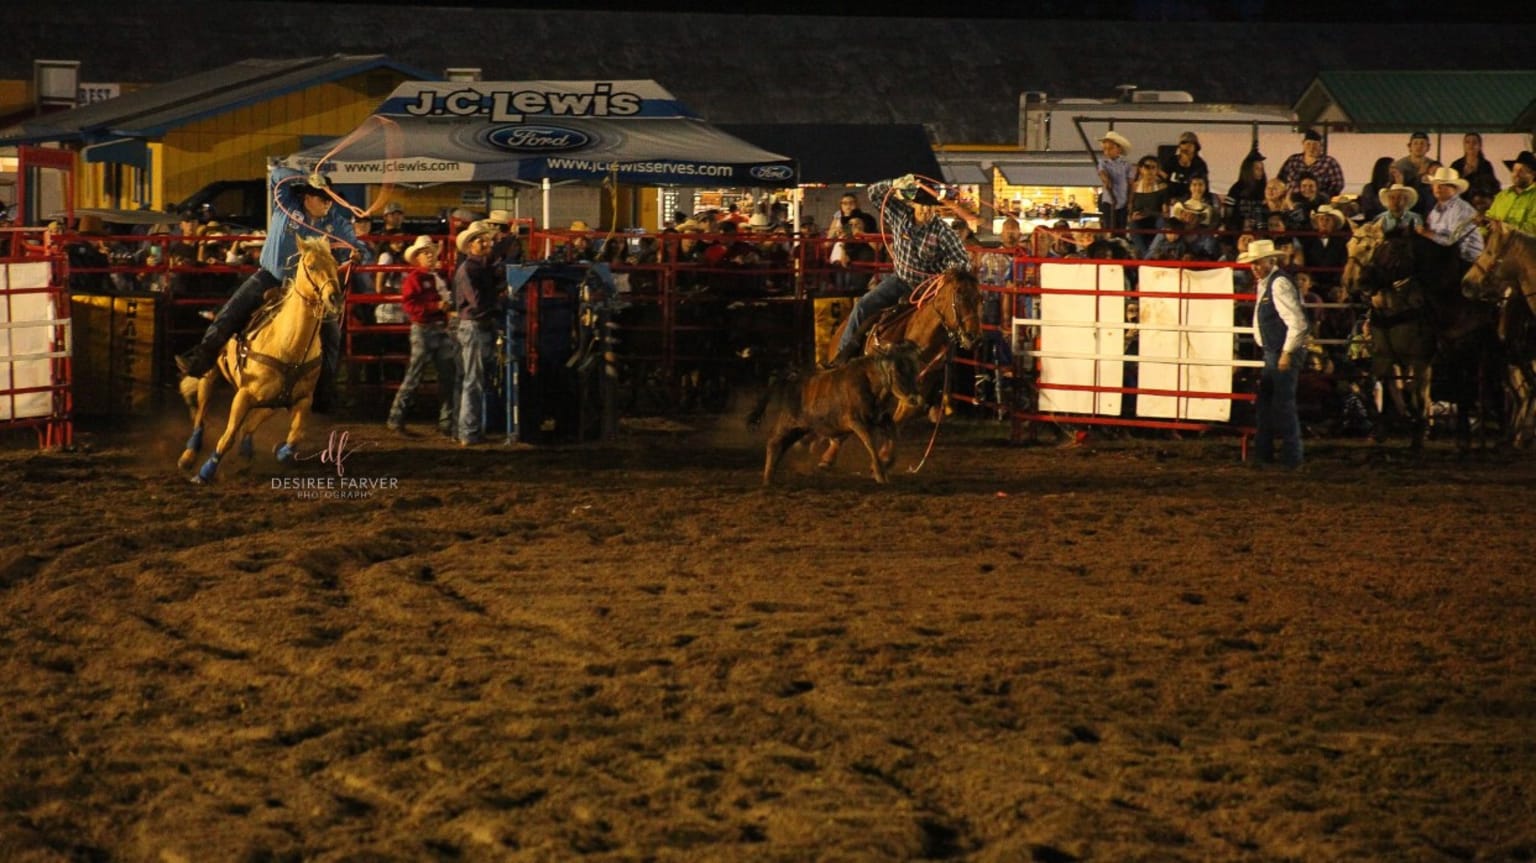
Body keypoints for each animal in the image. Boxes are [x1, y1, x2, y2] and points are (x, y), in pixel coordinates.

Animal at [177, 236, 345, 482]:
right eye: (311, 266)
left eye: (335, 264)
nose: (335, 298)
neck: (289, 345)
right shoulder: (244, 395)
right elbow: (228, 436)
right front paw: (205, 472)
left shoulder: (303, 399)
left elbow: (296, 434)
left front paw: (281, 451)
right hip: (210, 374)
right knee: (201, 414)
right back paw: (189, 455)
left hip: (272, 401)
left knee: (251, 424)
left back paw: (247, 452)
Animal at [820, 266, 983, 467]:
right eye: (959, 296)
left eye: (979, 298)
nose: (974, 338)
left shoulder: (915, 394)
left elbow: (897, 421)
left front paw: (885, 455)